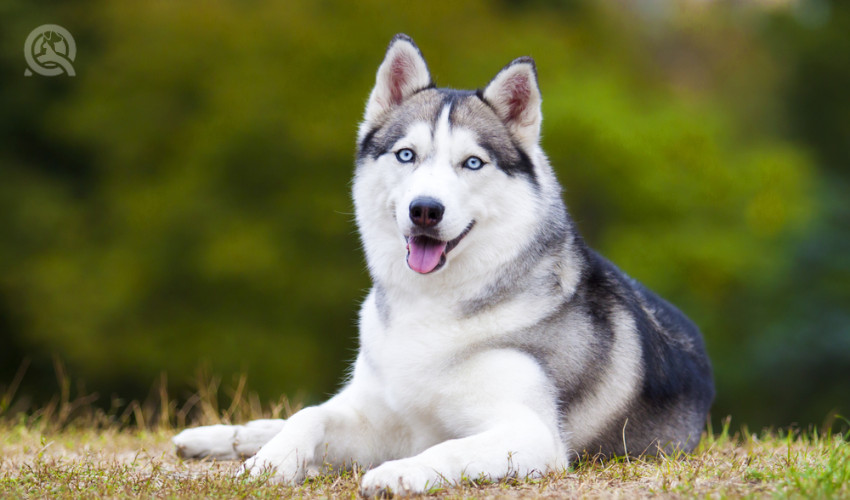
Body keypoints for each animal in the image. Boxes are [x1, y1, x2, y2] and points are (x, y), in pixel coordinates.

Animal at [176, 35, 712, 496]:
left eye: (472, 163)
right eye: (406, 155)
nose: (425, 210)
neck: (431, 307)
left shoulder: (531, 433)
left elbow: (449, 448)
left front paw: (397, 474)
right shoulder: (382, 417)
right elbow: (309, 416)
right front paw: (269, 463)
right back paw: (220, 437)